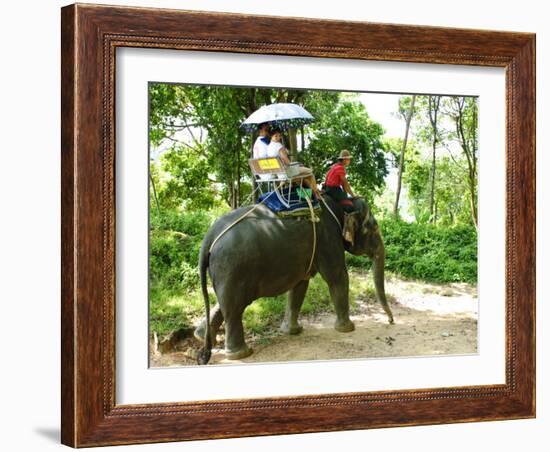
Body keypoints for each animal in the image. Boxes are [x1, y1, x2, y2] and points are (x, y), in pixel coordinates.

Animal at [196, 194, 394, 364]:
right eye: (374, 228)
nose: (391, 321)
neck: (341, 204)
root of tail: (209, 237)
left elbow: (300, 284)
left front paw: (292, 332)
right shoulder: (328, 238)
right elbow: (337, 276)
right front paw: (347, 329)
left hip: (226, 271)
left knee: (225, 304)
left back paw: (201, 336)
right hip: (233, 267)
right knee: (235, 308)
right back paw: (240, 354)